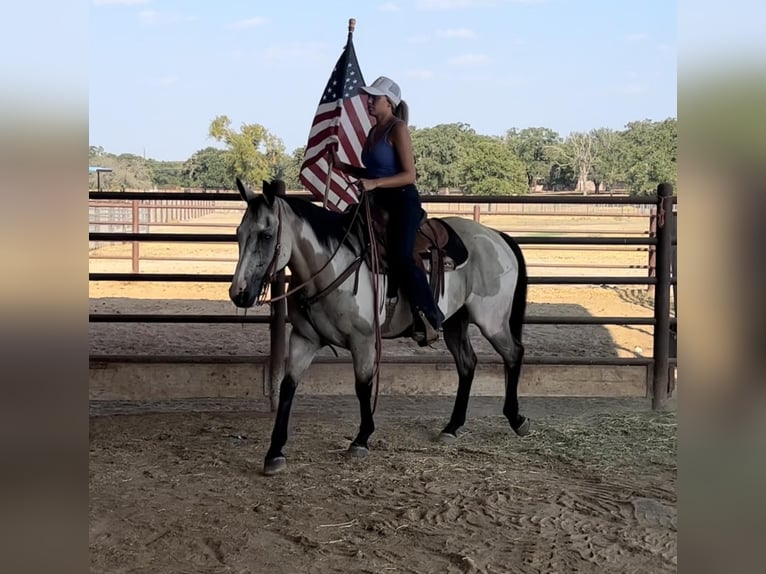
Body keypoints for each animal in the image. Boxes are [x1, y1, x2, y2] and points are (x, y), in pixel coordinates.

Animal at [228, 180, 532, 476]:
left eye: (266, 235)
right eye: (239, 233)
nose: (238, 293)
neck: (331, 265)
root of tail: (498, 236)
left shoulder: (363, 341)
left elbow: (363, 386)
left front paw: (361, 439)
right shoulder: (304, 339)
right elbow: (288, 387)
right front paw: (274, 452)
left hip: (492, 321)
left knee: (514, 353)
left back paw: (517, 419)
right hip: (457, 322)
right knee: (467, 364)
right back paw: (451, 427)